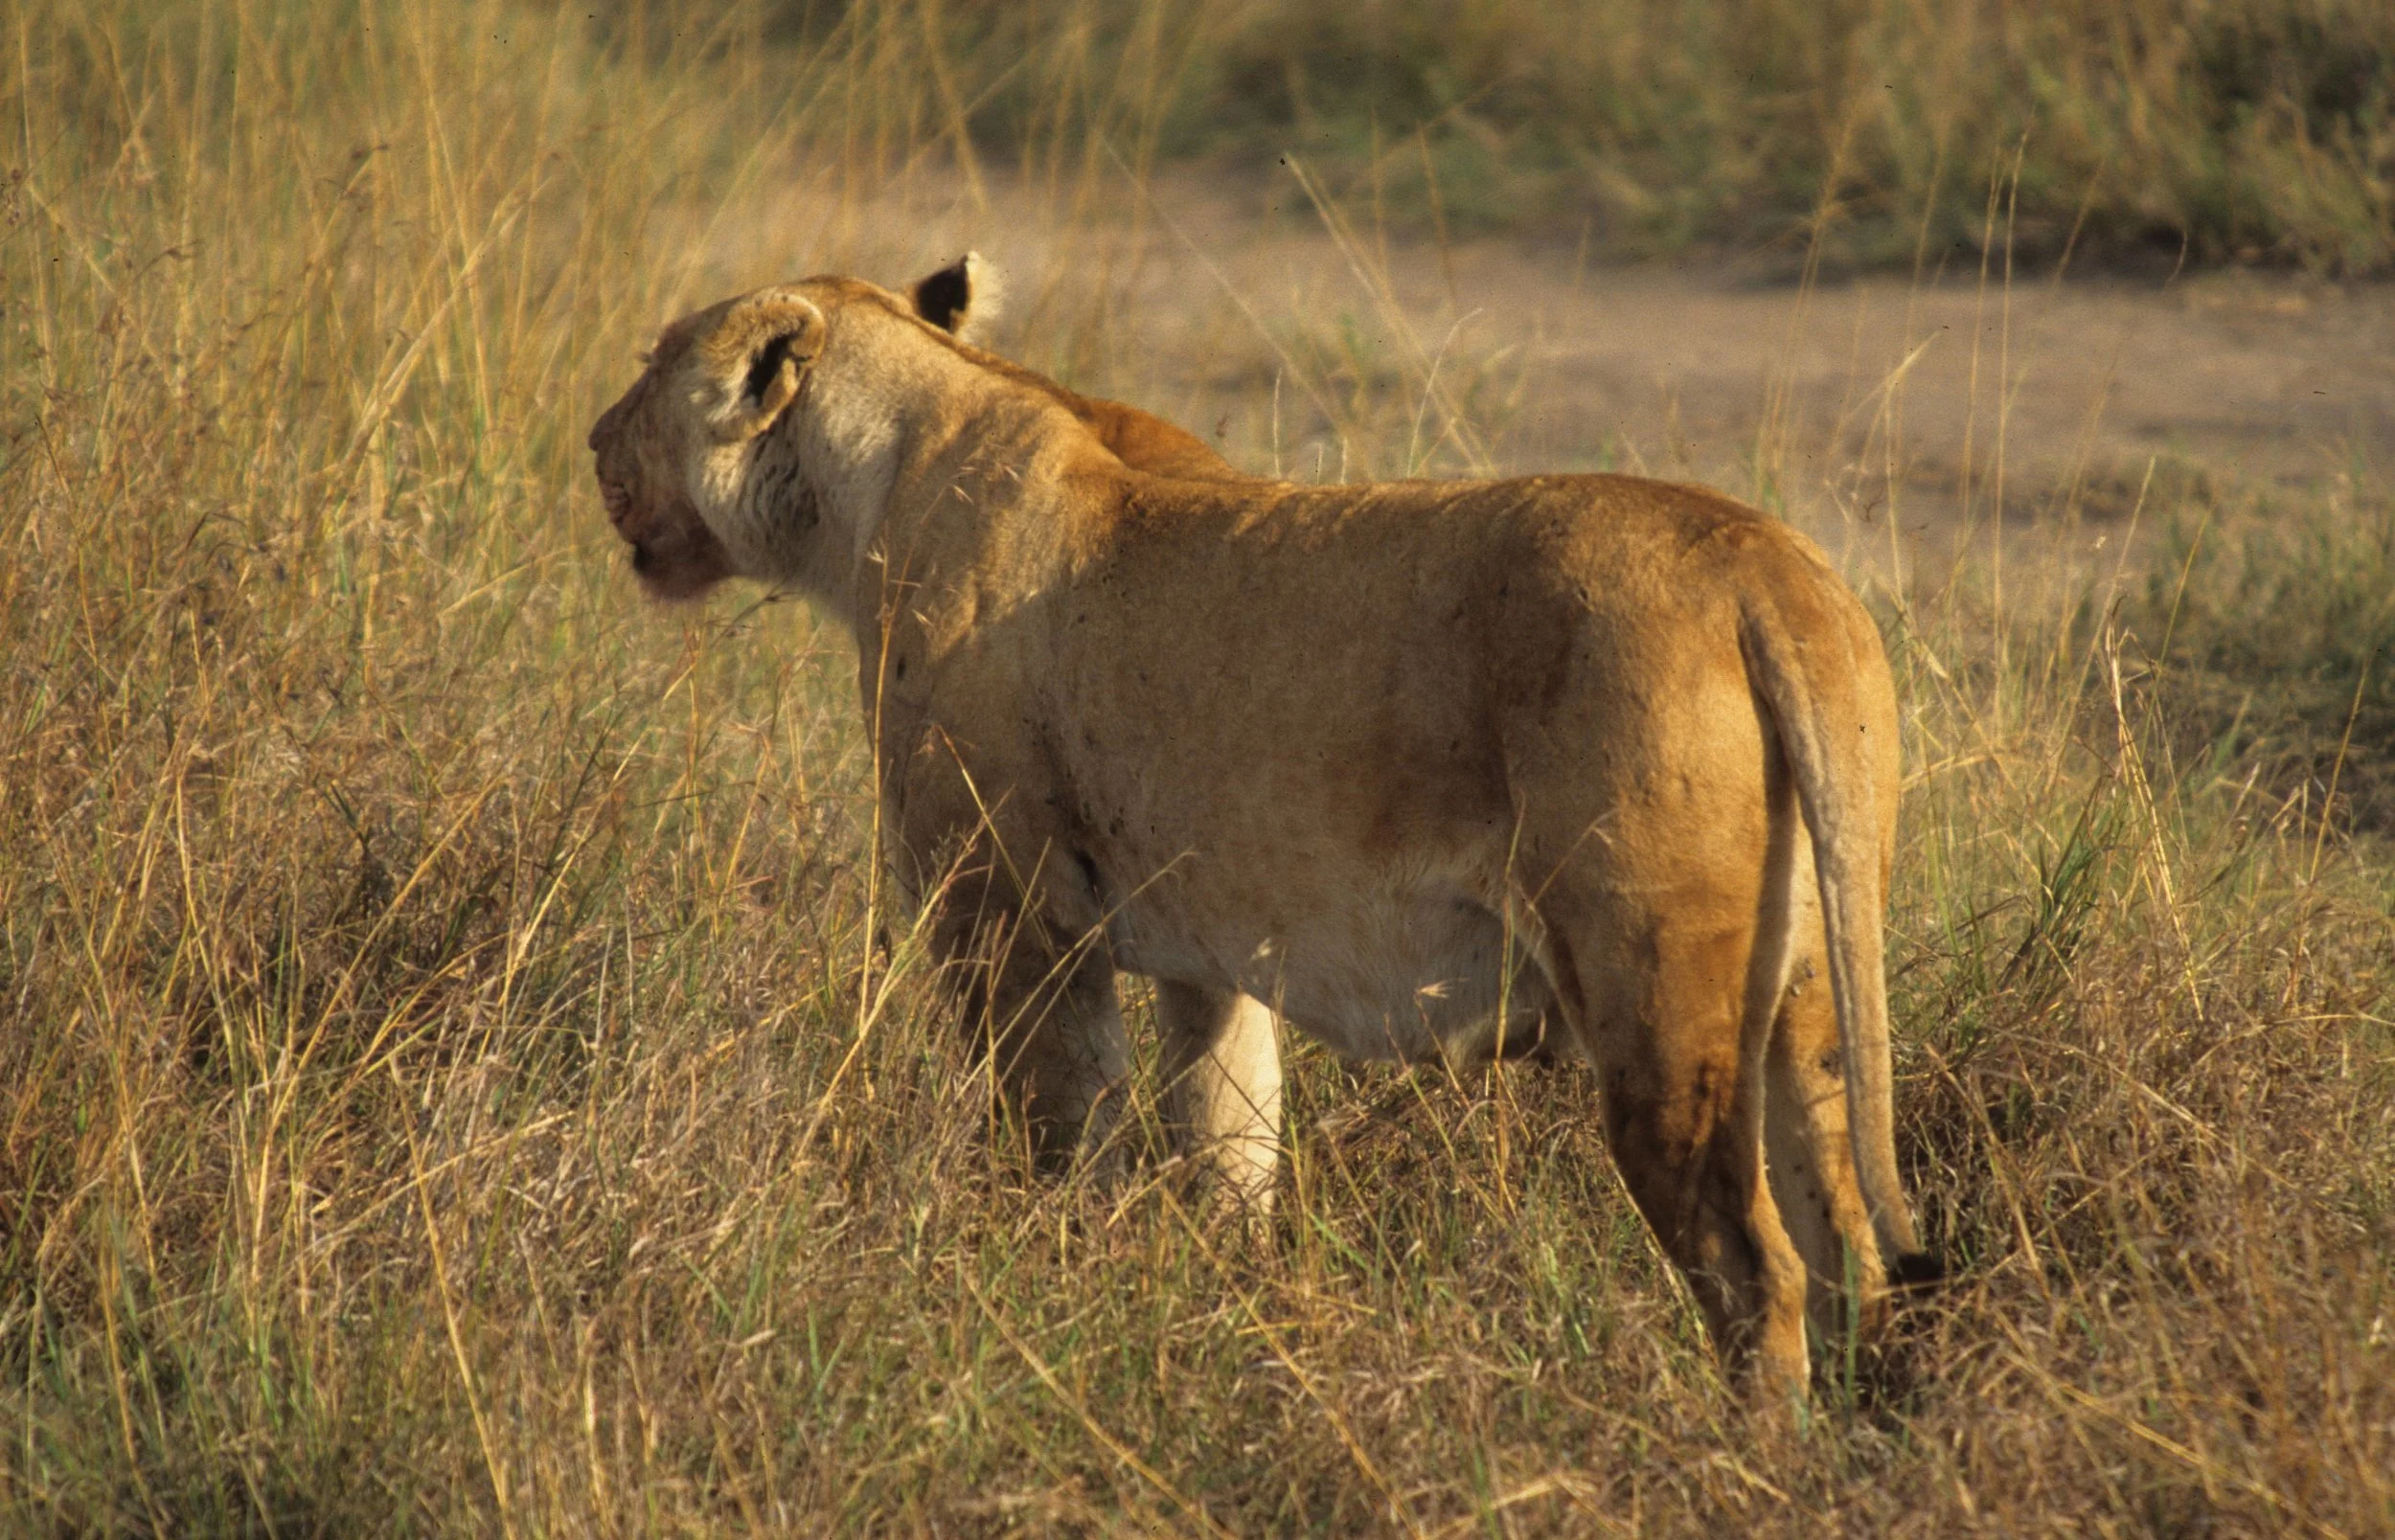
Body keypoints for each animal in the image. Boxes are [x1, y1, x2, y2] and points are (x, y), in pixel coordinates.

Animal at [587, 257, 1935, 1401]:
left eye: (653, 364)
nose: (592, 438)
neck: (891, 458)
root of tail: (1764, 567)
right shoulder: (1211, 955)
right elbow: (1227, 1144)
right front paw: (1215, 1317)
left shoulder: (1009, 923)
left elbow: (1058, 1139)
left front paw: (1048, 1298)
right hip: (1807, 989)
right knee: (1849, 1246)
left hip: (1653, 990)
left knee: (1756, 1265)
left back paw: (1752, 1461)